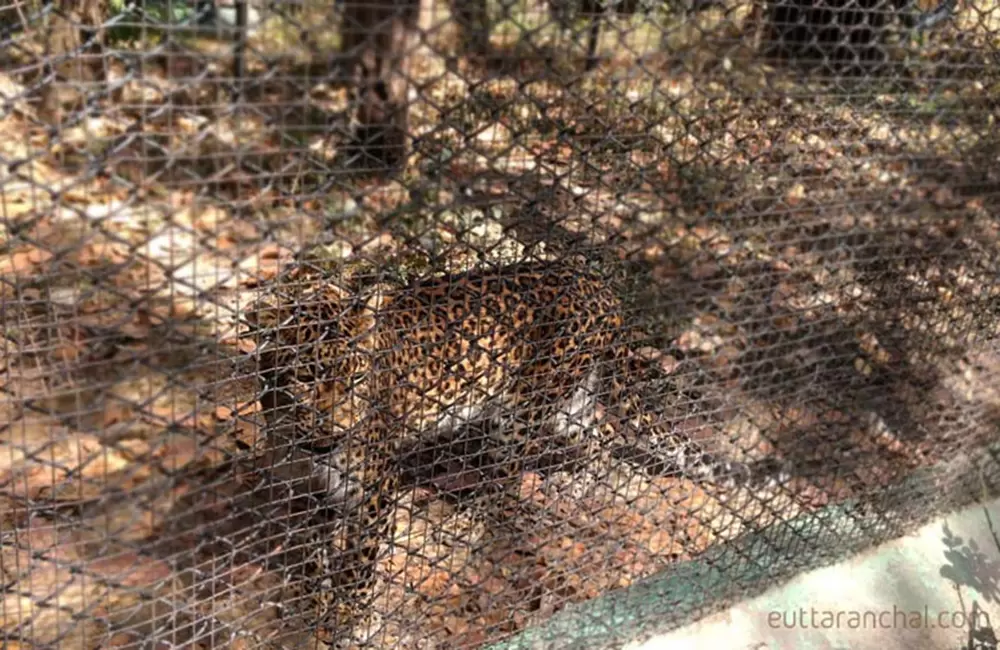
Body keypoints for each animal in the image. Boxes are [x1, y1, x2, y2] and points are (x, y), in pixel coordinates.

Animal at [242, 256, 780, 640]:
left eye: (355, 379)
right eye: (306, 377)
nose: (332, 434)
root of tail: (598, 284)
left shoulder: (373, 489)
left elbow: (357, 566)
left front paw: (351, 621)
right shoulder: (310, 491)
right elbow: (314, 554)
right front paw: (313, 603)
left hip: (524, 412)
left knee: (507, 485)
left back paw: (475, 519)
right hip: (568, 402)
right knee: (599, 435)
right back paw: (578, 483)